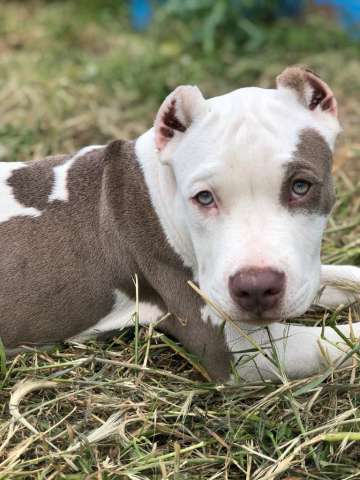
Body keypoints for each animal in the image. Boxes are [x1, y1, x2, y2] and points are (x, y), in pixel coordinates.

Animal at [0, 65, 360, 382]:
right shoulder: (242, 349)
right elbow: (341, 340)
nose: (256, 287)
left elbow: (344, 275)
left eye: (301, 186)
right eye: (204, 197)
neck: (160, 187)